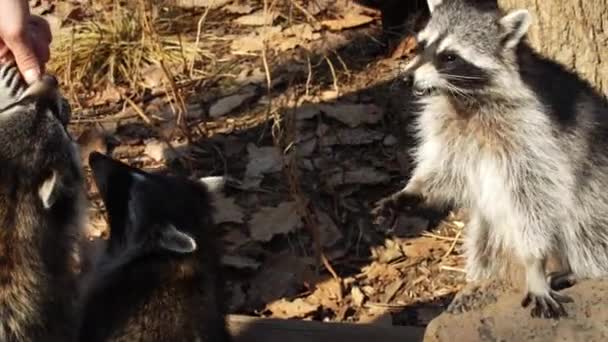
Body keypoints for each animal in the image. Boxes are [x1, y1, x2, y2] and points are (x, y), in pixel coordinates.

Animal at [372, 0, 608, 320]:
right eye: (422, 45)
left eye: (449, 57)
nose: (406, 78)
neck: (465, 99)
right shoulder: (448, 126)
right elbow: (444, 168)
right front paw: (413, 190)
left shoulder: (535, 135)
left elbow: (535, 197)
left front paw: (534, 264)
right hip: (490, 231)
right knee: (486, 249)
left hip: (596, 192)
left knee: (588, 231)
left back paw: (578, 270)